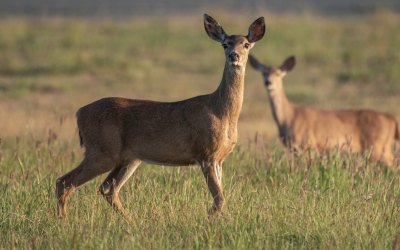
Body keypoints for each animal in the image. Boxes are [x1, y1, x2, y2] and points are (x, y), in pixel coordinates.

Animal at [54, 14, 264, 221]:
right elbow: (219, 199)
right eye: (225, 44)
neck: (221, 112)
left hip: (128, 157)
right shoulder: (206, 154)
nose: (234, 56)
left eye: (246, 44)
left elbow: (219, 198)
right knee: (64, 182)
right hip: (102, 150)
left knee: (107, 188)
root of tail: (79, 112)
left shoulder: (219, 159)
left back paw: (131, 223)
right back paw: (64, 222)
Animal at [248, 54, 398, 166]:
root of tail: (392, 120)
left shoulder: (308, 145)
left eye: (278, 74)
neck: (289, 117)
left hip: (377, 146)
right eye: (263, 73)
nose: (268, 83)